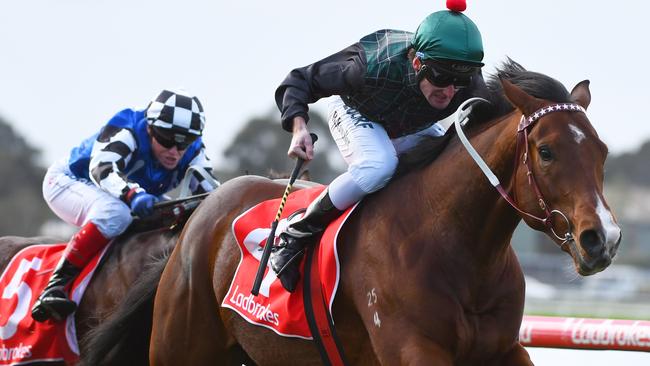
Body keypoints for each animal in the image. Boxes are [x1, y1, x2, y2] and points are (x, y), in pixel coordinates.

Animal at [137, 61, 616, 364]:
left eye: (602, 151)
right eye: (546, 151)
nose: (603, 239)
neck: (457, 249)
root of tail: (203, 210)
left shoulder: (504, 349)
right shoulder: (413, 349)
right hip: (180, 347)